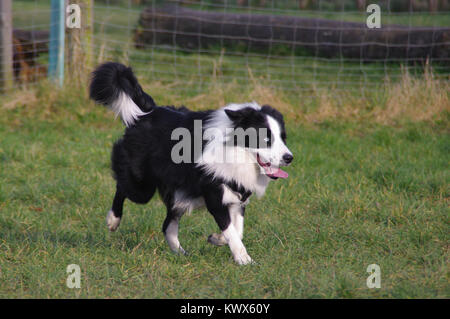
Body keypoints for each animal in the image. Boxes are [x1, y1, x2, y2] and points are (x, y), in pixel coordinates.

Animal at [88, 62, 294, 264]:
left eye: (283, 138)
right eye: (266, 139)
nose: (289, 158)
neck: (234, 148)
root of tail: (147, 112)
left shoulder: (238, 195)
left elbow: (238, 229)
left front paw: (216, 239)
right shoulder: (215, 197)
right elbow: (232, 231)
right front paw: (244, 260)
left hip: (178, 193)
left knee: (167, 224)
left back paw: (181, 254)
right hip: (142, 186)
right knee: (122, 187)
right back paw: (113, 220)